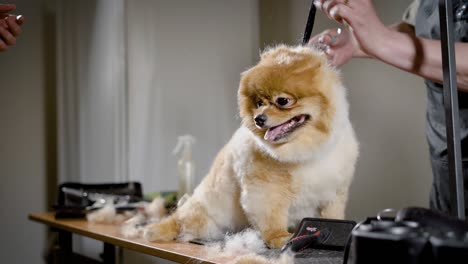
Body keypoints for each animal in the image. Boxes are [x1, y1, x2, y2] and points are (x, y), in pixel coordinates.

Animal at [144, 44, 360, 249]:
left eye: (282, 101)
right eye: (258, 103)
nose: (259, 119)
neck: (305, 151)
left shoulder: (334, 190)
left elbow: (332, 214)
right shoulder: (264, 190)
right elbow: (271, 216)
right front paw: (278, 237)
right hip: (203, 213)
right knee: (181, 221)